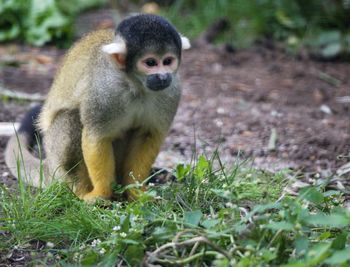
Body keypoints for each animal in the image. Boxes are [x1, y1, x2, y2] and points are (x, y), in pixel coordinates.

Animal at [4, 14, 191, 203]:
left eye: (167, 61)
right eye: (151, 63)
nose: (163, 76)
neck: (135, 85)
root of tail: (48, 165)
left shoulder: (172, 91)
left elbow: (147, 135)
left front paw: (137, 193)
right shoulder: (103, 91)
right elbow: (97, 137)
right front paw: (101, 192)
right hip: (55, 157)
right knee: (71, 118)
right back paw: (78, 191)